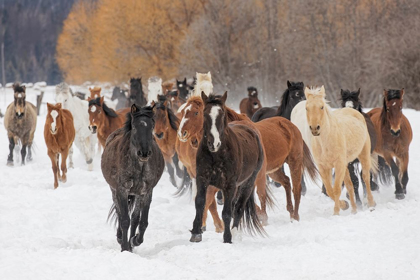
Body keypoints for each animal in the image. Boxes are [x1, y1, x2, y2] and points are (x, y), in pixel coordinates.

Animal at [102, 103, 165, 252]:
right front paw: (124, 247)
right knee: (119, 214)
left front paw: (134, 241)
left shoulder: (146, 192)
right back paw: (121, 239)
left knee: (135, 218)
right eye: (135, 127)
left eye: (152, 126)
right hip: (114, 190)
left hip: (136, 194)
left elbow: (141, 221)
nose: (144, 152)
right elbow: (124, 219)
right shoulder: (122, 190)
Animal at [304, 85, 376, 214]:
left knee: (365, 178)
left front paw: (336, 212)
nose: (315, 128)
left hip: (363, 155)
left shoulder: (338, 164)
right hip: (347, 164)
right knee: (350, 184)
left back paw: (371, 204)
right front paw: (344, 205)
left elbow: (336, 189)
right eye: (306, 108)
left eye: (322, 107)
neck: (325, 142)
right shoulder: (323, 167)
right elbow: (329, 190)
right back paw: (354, 209)